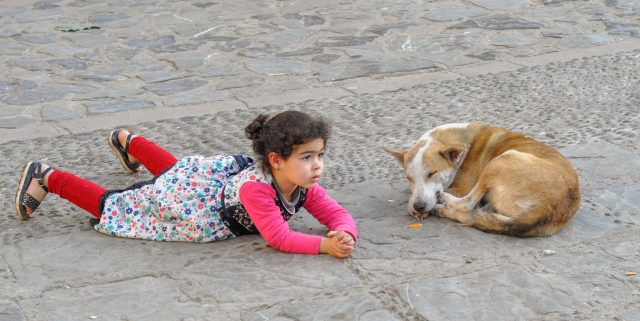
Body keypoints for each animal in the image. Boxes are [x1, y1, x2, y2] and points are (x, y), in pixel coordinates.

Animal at [384, 121, 580, 236]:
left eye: (432, 173)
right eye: (409, 178)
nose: (419, 206)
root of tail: (549, 205)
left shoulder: (461, 187)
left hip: (501, 160)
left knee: (467, 204)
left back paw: (444, 202)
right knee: (472, 216)